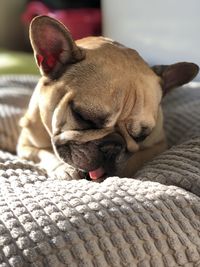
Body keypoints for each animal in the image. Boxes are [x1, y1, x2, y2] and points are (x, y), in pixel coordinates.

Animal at [16, 15, 198, 182]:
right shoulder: (25, 145)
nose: (112, 146)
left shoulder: (158, 145)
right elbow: (44, 154)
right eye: (83, 117)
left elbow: (133, 161)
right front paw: (64, 168)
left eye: (141, 136)